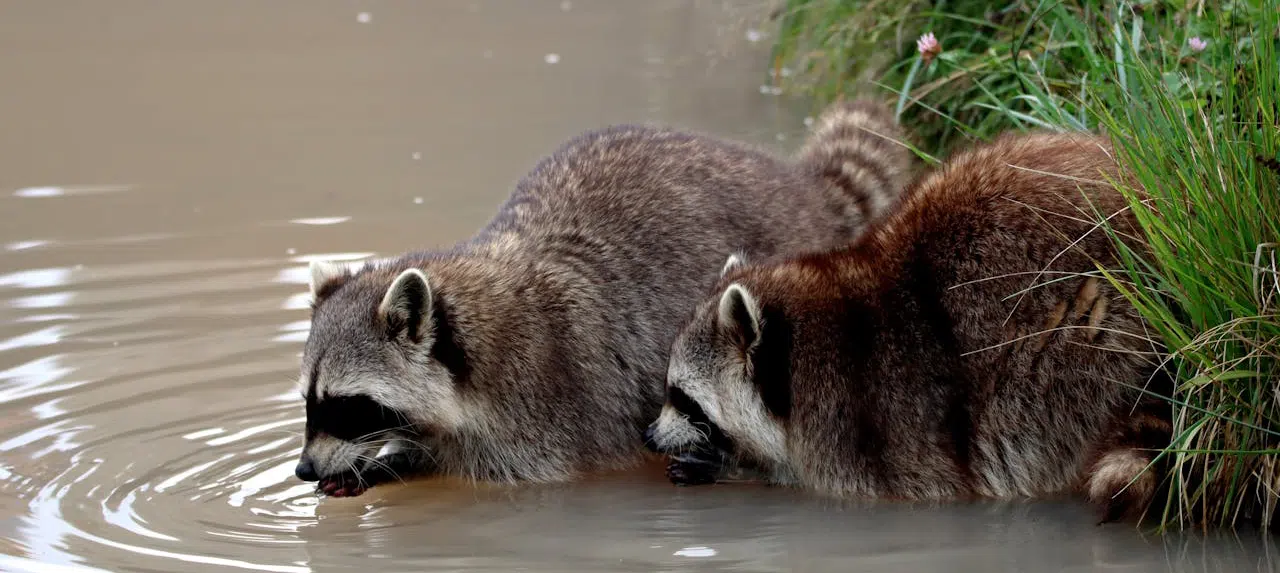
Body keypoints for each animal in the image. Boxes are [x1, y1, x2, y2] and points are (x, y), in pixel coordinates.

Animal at [293, 99, 915, 496]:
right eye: (308, 401)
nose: (302, 470)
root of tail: (798, 189)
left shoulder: (546, 412)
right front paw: (385, 463)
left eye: (346, 404)